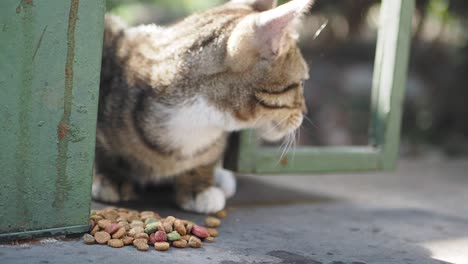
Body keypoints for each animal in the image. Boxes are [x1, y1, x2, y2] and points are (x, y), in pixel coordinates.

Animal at [93, 0, 312, 212]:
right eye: (301, 83)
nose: (305, 112)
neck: (199, 121)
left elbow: (206, 160)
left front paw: (197, 188)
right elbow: (102, 149)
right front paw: (112, 178)